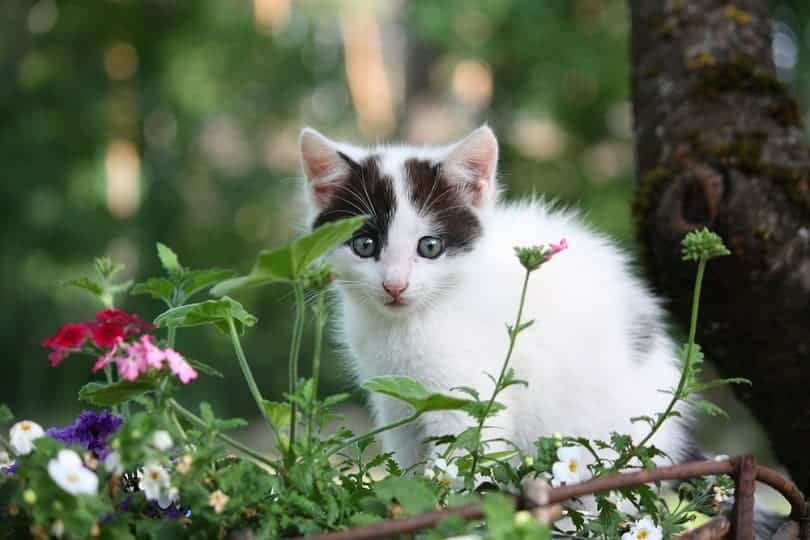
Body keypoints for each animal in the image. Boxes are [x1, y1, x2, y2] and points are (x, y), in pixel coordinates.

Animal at [296, 124, 688, 470]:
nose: (395, 285)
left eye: (430, 247)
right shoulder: (396, 400)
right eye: (364, 245)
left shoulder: (467, 399)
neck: (408, 325)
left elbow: (457, 466)